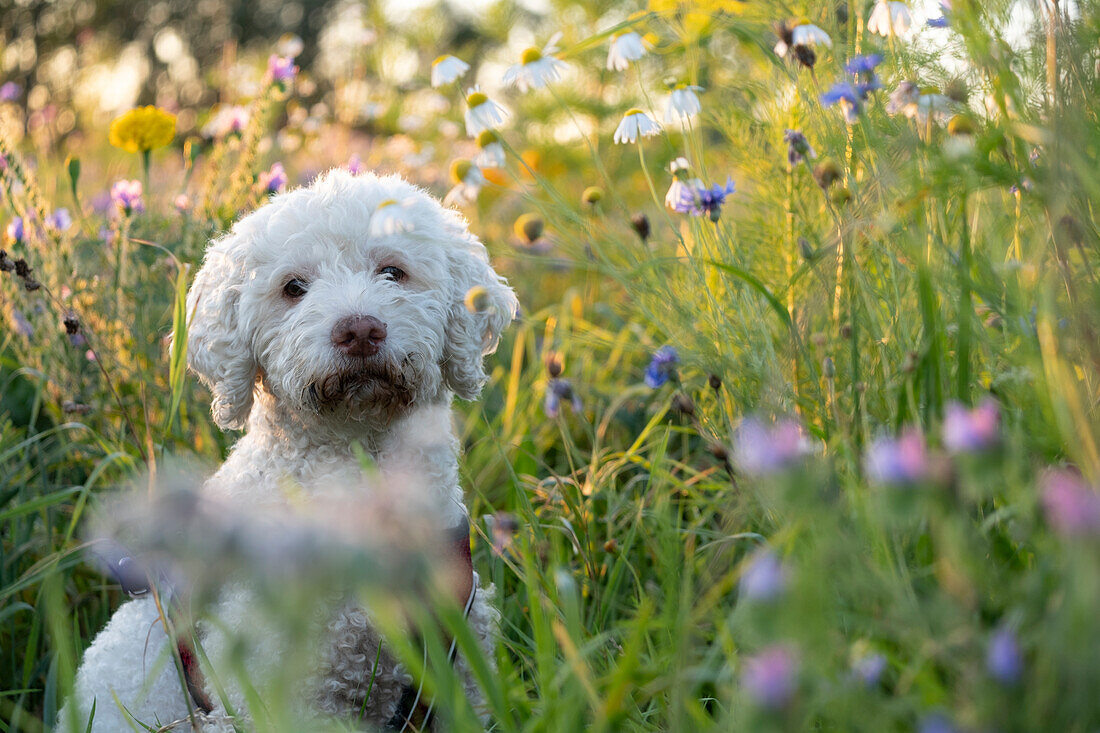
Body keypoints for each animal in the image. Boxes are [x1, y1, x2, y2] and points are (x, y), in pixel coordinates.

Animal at [64, 169, 519, 726]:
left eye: (393, 271)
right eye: (294, 288)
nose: (359, 329)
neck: (359, 458)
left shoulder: (460, 666)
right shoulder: (280, 691)